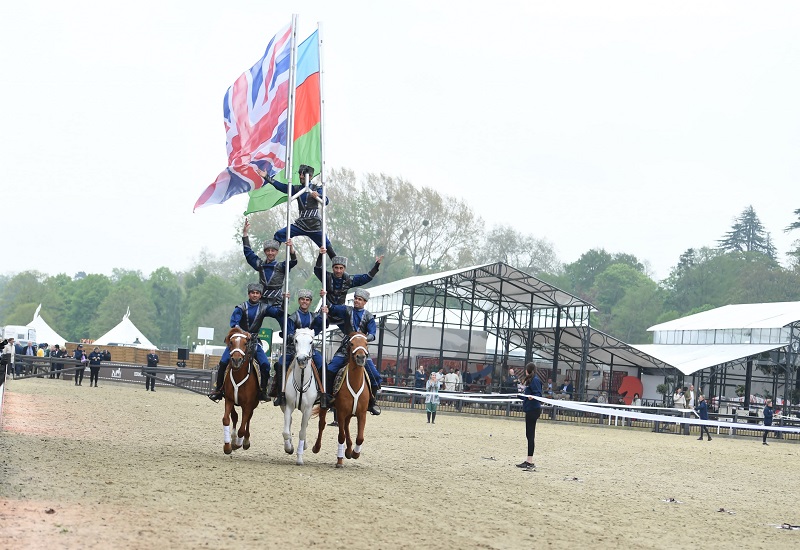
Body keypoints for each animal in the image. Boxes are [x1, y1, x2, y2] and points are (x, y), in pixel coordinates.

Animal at [280, 330, 320, 468]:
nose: (302, 359)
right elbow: (286, 432)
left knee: (305, 425)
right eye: (295, 341)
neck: (301, 381)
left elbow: (302, 432)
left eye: (311, 342)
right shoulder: (288, 405)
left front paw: (300, 458)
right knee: (290, 422)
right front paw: (289, 448)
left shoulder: (308, 409)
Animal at [314, 332, 374, 470]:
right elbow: (341, 436)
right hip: (327, 407)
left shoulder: (362, 414)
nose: (361, 357)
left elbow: (360, 438)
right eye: (351, 343)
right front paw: (339, 461)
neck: (355, 383)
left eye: (366, 343)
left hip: (350, 414)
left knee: (346, 426)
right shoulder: (340, 413)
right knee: (322, 425)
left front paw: (355, 453)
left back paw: (349, 450)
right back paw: (316, 447)